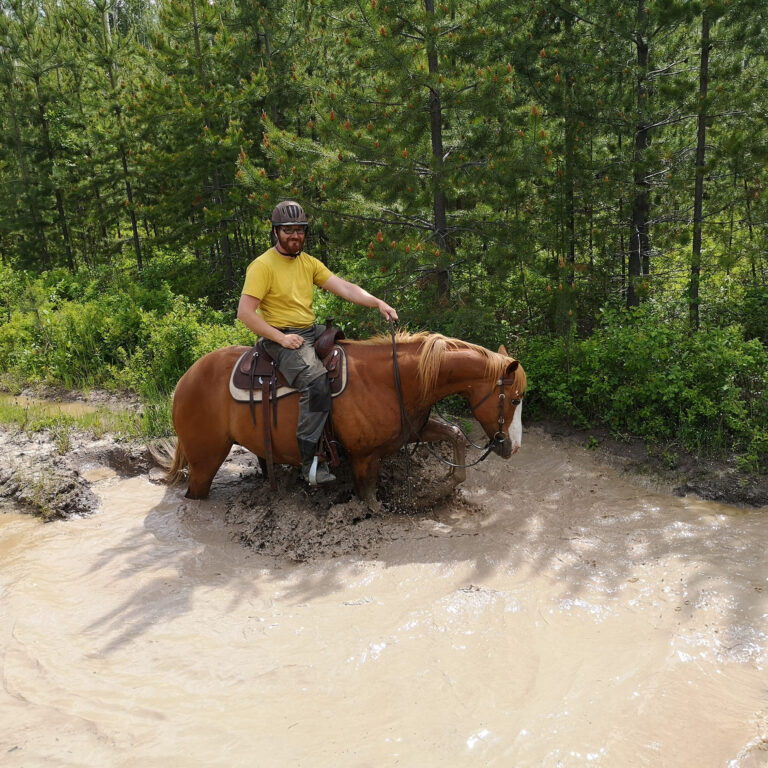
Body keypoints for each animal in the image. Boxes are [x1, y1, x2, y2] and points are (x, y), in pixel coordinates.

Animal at [165, 331, 526, 505]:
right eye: (514, 399)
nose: (513, 448)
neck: (394, 379)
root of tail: (183, 381)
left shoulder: (411, 430)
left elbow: (455, 434)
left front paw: (446, 484)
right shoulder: (365, 458)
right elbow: (371, 502)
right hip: (205, 462)